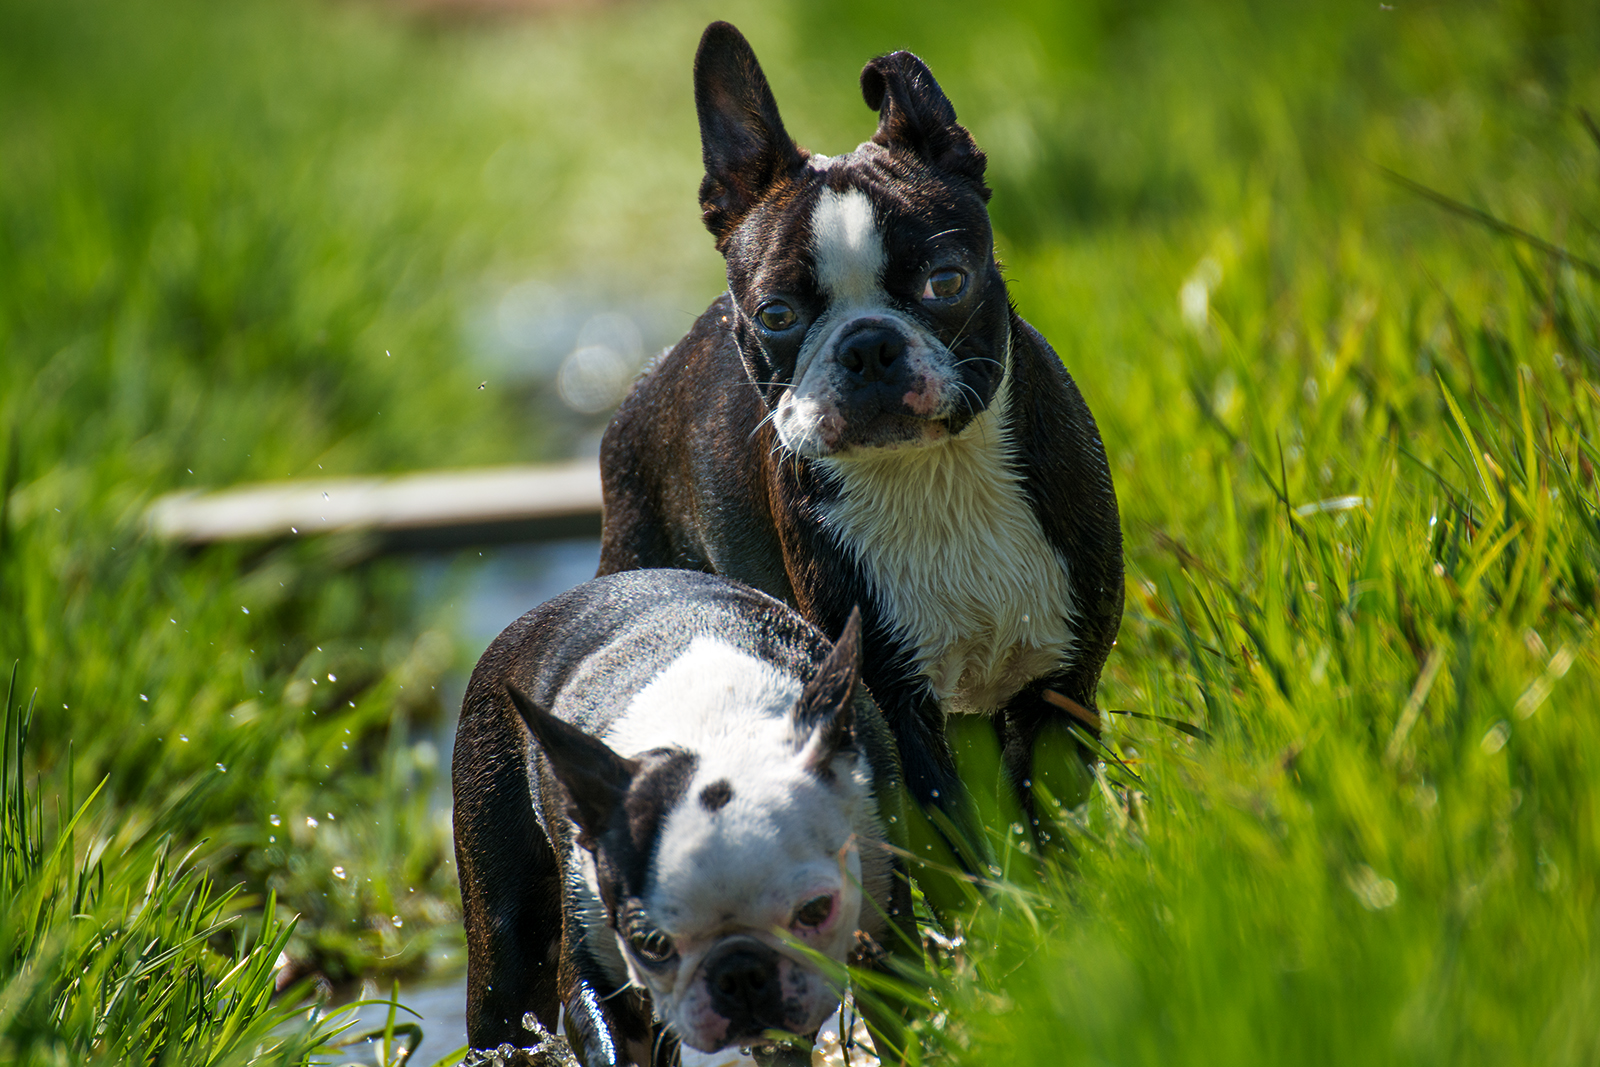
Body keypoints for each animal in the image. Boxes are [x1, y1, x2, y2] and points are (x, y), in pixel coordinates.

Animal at [451, 572, 915, 1062]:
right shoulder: (598, 968)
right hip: (505, 929)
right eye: (650, 944)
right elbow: (606, 1037)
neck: (718, 728)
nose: (738, 971)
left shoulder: (884, 936)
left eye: (816, 911)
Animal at [601, 20, 1126, 831]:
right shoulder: (894, 704)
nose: (867, 345)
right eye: (775, 314)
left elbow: (1047, 820)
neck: (935, 475)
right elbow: (956, 834)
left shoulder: (1060, 684)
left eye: (946, 281)